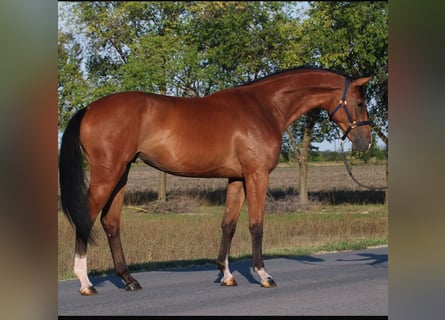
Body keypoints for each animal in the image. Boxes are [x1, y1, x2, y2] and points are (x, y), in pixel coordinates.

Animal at [59, 67, 372, 296]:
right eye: (359, 102)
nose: (366, 142)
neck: (264, 108)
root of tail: (89, 109)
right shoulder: (257, 175)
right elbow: (256, 225)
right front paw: (264, 275)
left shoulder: (236, 178)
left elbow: (228, 225)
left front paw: (227, 275)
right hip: (108, 173)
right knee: (87, 218)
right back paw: (86, 283)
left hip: (121, 174)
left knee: (111, 222)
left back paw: (129, 280)